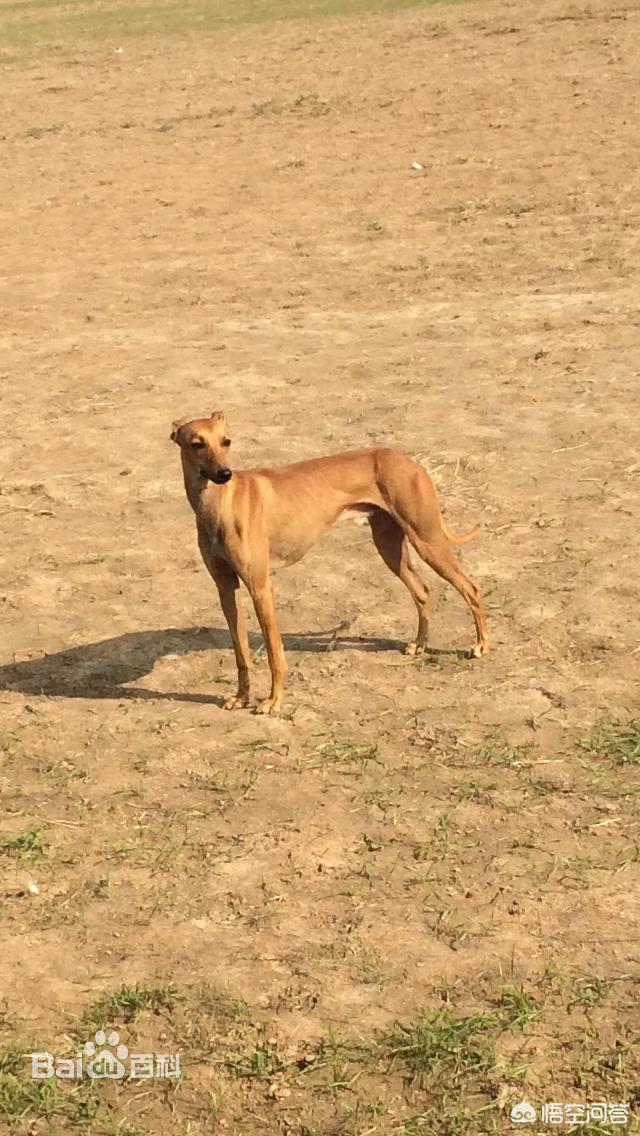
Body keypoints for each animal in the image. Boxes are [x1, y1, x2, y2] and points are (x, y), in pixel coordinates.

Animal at [171, 413, 491, 713]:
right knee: (423, 591)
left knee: (471, 588)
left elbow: (275, 653)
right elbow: (241, 653)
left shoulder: (261, 588)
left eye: (226, 441)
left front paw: (274, 701)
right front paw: (241, 697)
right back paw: (420, 644)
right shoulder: (226, 588)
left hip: (427, 541)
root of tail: (410, 461)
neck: (221, 504)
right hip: (390, 547)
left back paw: (481, 645)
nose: (224, 473)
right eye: (197, 444)